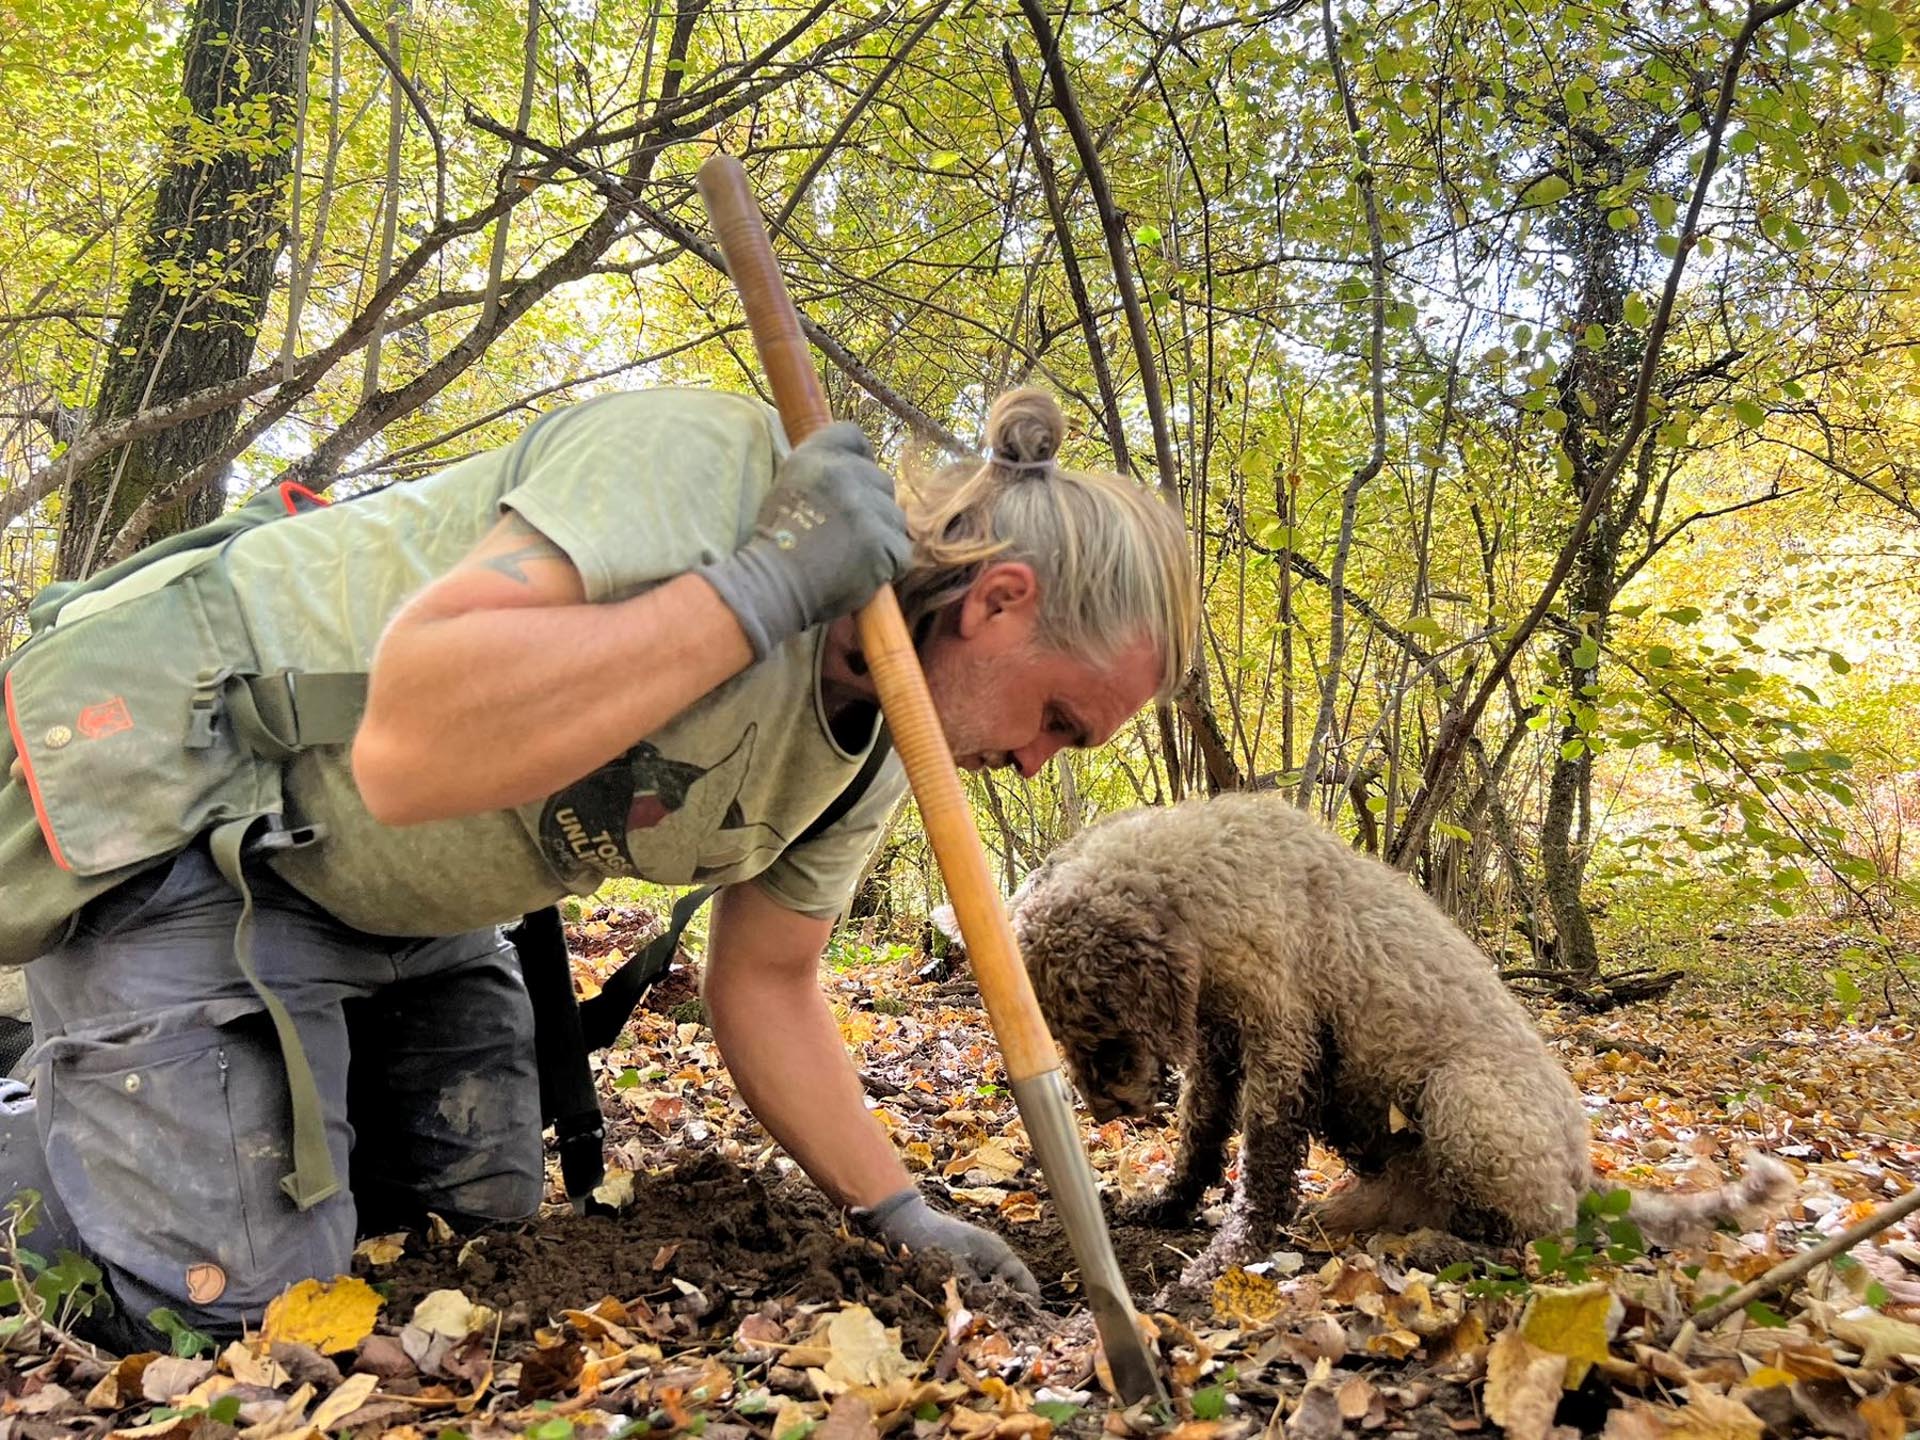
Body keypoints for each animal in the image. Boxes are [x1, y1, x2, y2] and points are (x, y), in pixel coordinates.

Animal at [998, 794, 1789, 1282]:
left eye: (1100, 1027)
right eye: (1057, 1032)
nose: (1103, 1113)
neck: (1204, 886)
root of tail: (1580, 1170)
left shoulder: (1282, 1043)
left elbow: (1262, 1166)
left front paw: (1227, 1256)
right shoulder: (1219, 1049)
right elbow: (1198, 1140)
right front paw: (1165, 1206)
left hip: (1465, 1101)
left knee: (1544, 1240)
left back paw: (1442, 1250)